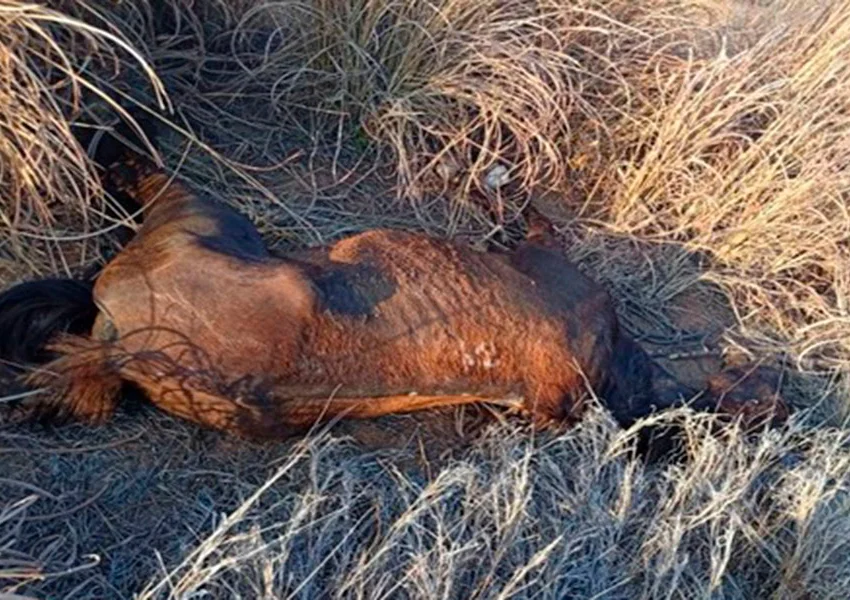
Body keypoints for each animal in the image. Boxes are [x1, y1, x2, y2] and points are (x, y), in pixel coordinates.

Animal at [0, 113, 789, 444]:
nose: (777, 391)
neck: (623, 367)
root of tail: (122, 352)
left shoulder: (549, 257)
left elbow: (527, 213)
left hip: (205, 216)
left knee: (148, 174)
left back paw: (100, 131)